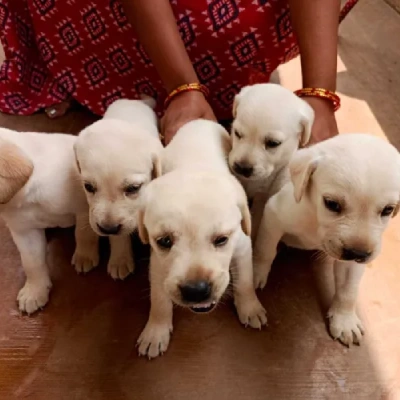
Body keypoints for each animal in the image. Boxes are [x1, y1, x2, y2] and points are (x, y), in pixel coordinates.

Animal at [0, 128, 99, 316]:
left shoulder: (83, 209)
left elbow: (84, 235)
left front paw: (85, 256)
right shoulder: (24, 231)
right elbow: (31, 263)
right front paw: (35, 290)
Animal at [136, 119, 268, 360]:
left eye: (222, 239)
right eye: (164, 241)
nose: (196, 290)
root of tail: (198, 121)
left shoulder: (242, 247)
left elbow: (245, 281)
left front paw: (250, 307)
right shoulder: (158, 263)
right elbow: (159, 298)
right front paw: (156, 331)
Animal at [253, 133, 400, 346]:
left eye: (388, 210)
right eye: (331, 204)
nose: (358, 253)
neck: (316, 220)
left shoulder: (352, 262)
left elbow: (348, 289)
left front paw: (345, 320)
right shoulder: (274, 213)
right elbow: (265, 250)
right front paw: (256, 272)